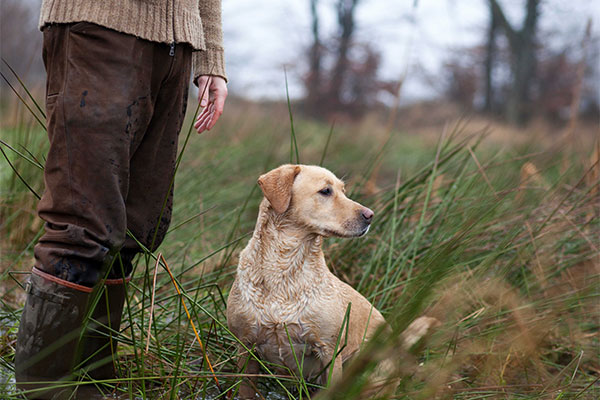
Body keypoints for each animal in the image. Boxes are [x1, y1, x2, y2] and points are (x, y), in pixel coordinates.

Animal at [225, 164, 390, 398]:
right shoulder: (245, 347)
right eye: (326, 191)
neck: (284, 268)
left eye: (343, 190)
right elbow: (246, 390)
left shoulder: (329, 351)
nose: (370, 215)